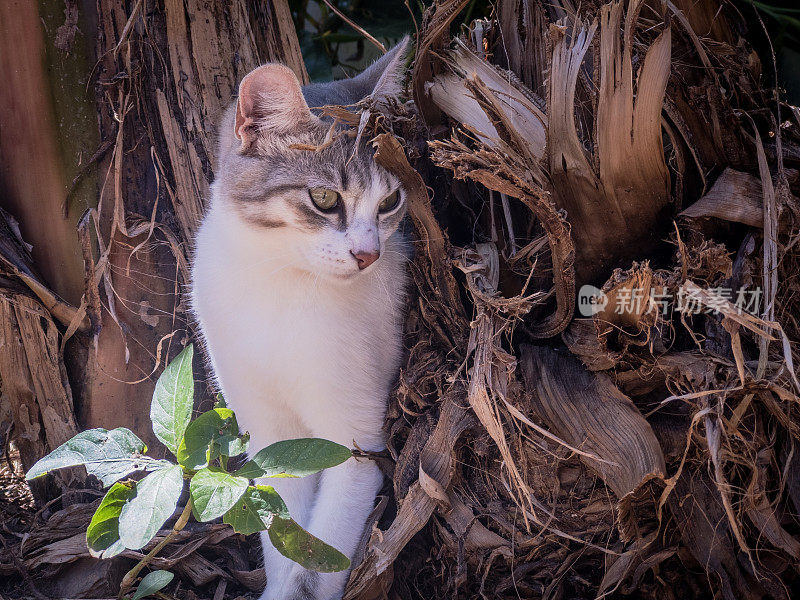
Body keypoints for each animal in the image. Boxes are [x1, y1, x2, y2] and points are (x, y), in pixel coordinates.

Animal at [191, 38, 410, 600]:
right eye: (325, 198)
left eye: (390, 201)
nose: (369, 255)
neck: (280, 284)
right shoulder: (271, 438)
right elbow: (282, 530)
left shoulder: (355, 441)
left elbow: (315, 563)